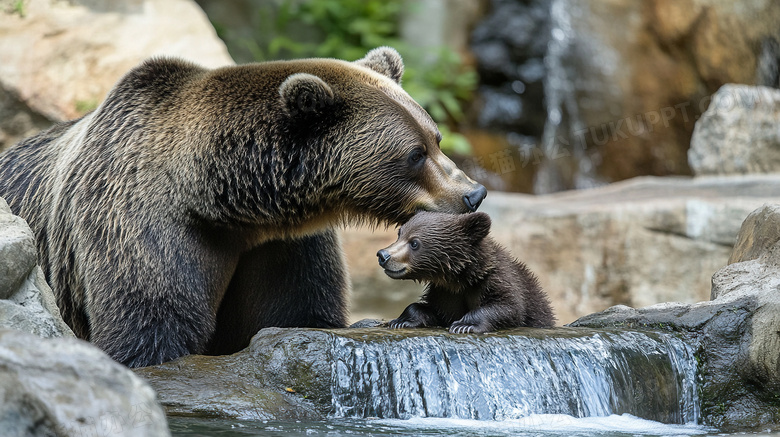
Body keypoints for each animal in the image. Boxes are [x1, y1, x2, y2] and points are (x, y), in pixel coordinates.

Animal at [0, 47, 484, 366]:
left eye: (435, 138)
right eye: (414, 154)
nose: (473, 193)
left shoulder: (281, 247)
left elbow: (291, 310)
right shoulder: (140, 226)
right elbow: (148, 327)